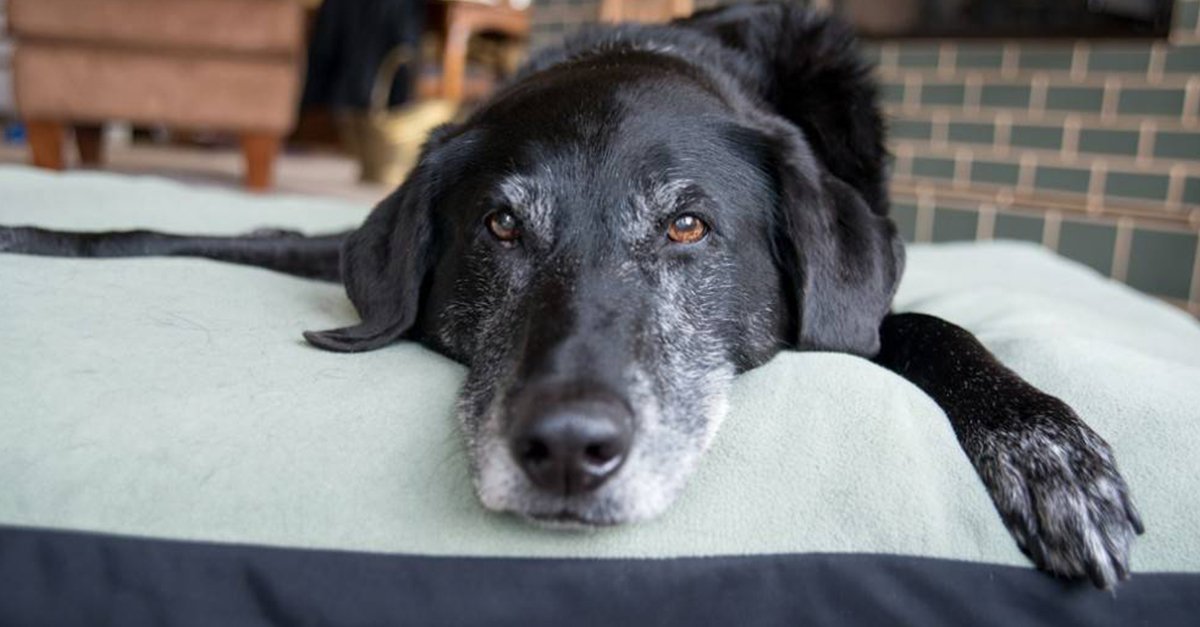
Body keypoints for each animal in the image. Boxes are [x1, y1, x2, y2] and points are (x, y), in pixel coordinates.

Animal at [2, 2, 1142, 586]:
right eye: (501, 227)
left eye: (687, 227)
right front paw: (35, 231)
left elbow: (929, 324)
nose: (565, 451)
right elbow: (172, 230)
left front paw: (1047, 449)